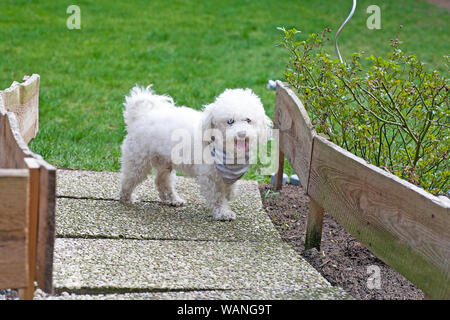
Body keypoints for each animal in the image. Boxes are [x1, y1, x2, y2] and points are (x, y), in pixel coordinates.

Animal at [118, 85, 270, 220]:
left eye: (248, 120)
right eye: (230, 121)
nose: (242, 134)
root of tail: (140, 116)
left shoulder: (229, 176)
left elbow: (230, 190)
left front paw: (229, 196)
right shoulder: (209, 177)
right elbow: (217, 197)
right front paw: (223, 213)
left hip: (164, 162)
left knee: (162, 181)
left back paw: (172, 199)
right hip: (137, 161)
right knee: (129, 179)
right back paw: (126, 198)